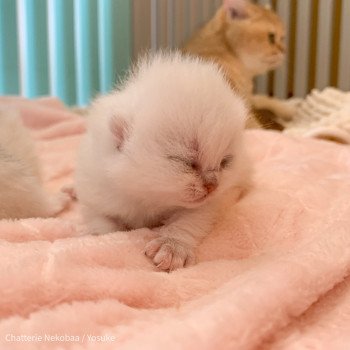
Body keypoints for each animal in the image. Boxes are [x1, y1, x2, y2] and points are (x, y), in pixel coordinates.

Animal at [76, 52, 252, 270]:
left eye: (225, 162)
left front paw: (173, 246)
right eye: (184, 161)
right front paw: (102, 234)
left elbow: (193, 218)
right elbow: (101, 221)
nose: (213, 185)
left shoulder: (215, 200)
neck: (147, 196)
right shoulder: (96, 188)